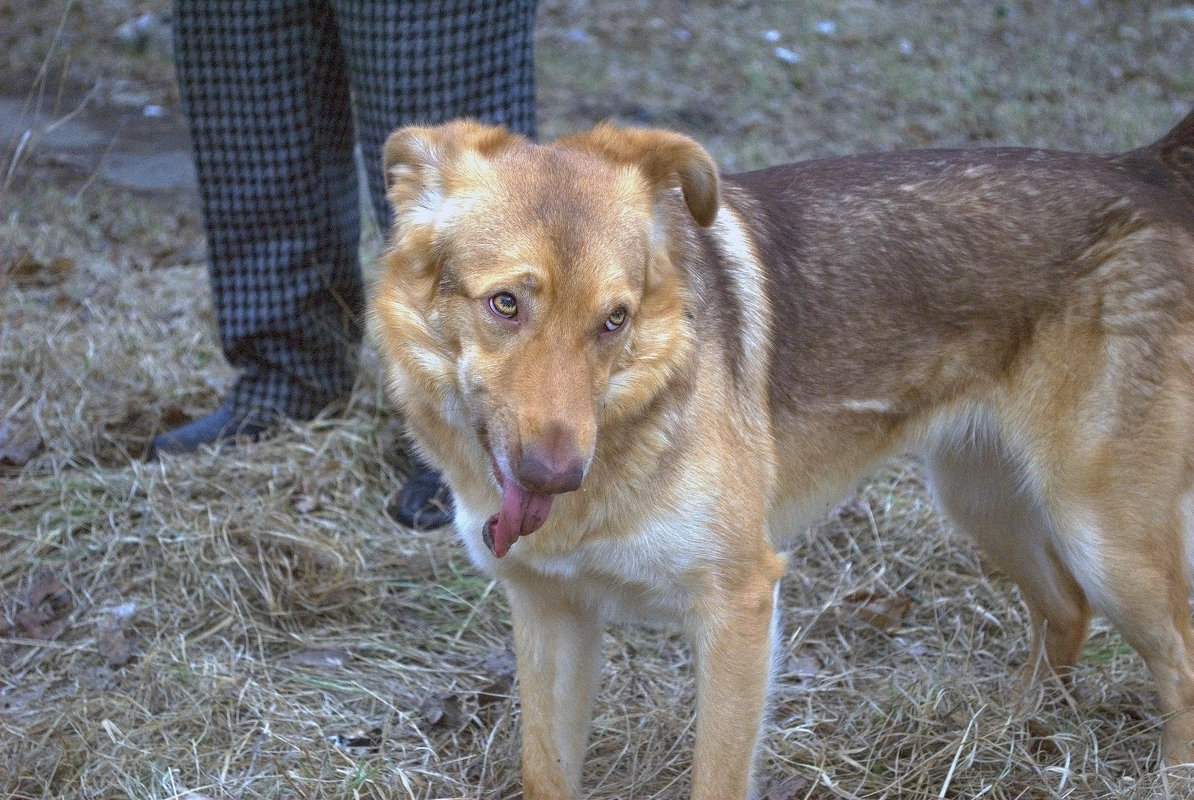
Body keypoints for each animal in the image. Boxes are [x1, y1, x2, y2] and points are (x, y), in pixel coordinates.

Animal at [367, 108, 1194, 800]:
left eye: (614, 320)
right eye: (505, 304)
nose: (556, 476)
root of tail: (1141, 169)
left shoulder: (739, 608)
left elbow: (716, 780)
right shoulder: (552, 616)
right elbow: (546, 773)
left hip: (1102, 539)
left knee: (1178, 663)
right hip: (982, 500)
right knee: (1067, 611)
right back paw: (1009, 723)